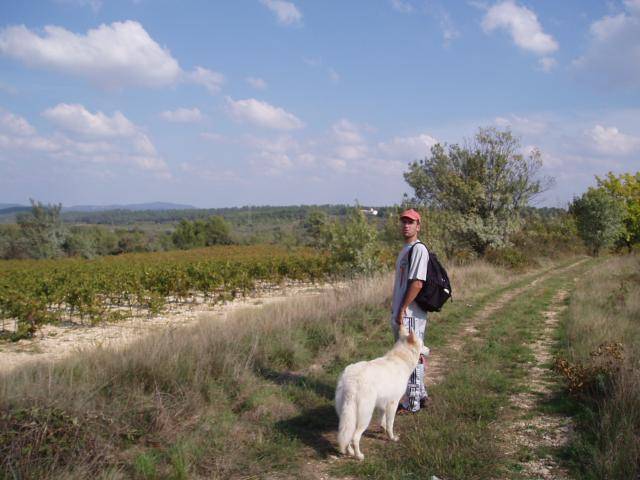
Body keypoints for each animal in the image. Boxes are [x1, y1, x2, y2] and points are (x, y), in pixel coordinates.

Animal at [336, 326, 430, 462]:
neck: (401, 358)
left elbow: (383, 420)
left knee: (347, 435)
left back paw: (350, 452)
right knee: (355, 437)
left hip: (347, 416)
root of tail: (351, 380)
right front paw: (392, 437)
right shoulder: (393, 403)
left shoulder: (383, 404)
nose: (429, 350)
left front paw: (382, 430)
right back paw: (358, 456)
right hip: (365, 416)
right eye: (422, 344)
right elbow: (390, 423)